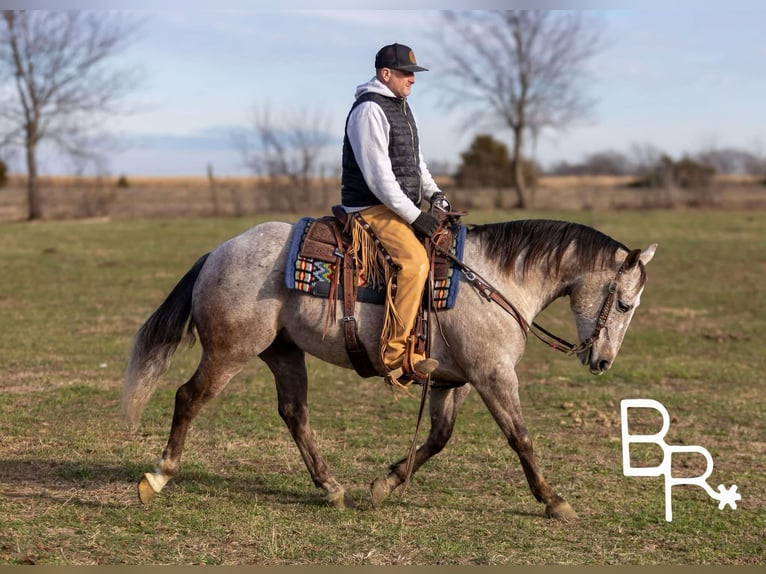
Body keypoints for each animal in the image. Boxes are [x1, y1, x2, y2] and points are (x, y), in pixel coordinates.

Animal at [121, 217, 657, 519]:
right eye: (625, 304)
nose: (602, 361)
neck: (496, 280)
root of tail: (218, 253)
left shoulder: (454, 380)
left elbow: (439, 437)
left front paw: (386, 483)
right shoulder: (493, 374)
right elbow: (520, 437)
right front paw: (553, 501)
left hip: (283, 353)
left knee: (295, 414)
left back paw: (331, 488)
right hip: (230, 351)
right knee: (189, 397)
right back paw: (159, 476)